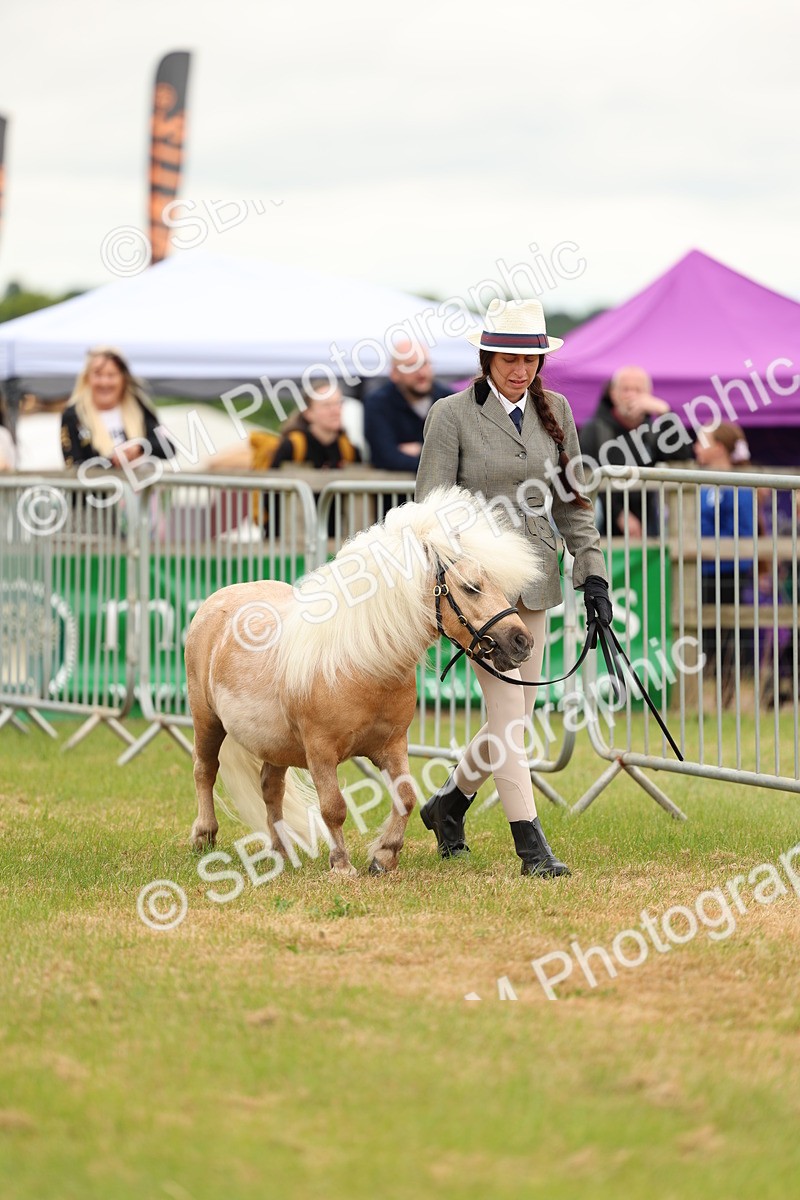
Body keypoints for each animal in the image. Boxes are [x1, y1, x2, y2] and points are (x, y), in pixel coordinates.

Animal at [184, 486, 541, 876]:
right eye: (471, 587)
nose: (522, 641)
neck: (362, 666)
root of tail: (218, 599)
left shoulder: (392, 746)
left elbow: (406, 797)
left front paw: (384, 855)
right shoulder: (320, 752)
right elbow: (334, 807)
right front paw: (342, 865)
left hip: (273, 743)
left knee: (270, 788)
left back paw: (283, 851)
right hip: (207, 721)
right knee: (205, 770)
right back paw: (204, 836)